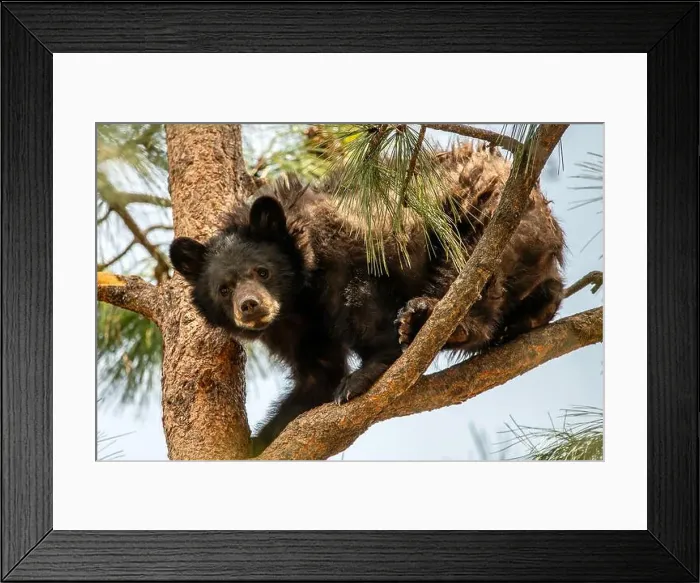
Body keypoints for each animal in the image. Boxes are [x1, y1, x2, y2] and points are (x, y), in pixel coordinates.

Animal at [169, 142, 566, 456]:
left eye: (262, 271)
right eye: (224, 288)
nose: (250, 305)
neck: (299, 294)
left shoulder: (344, 252)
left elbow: (362, 304)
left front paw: (366, 373)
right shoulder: (294, 329)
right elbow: (317, 373)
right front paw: (262, 438)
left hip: (486, 215)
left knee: (470, 269)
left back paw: (435, 319)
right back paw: (530, 317)